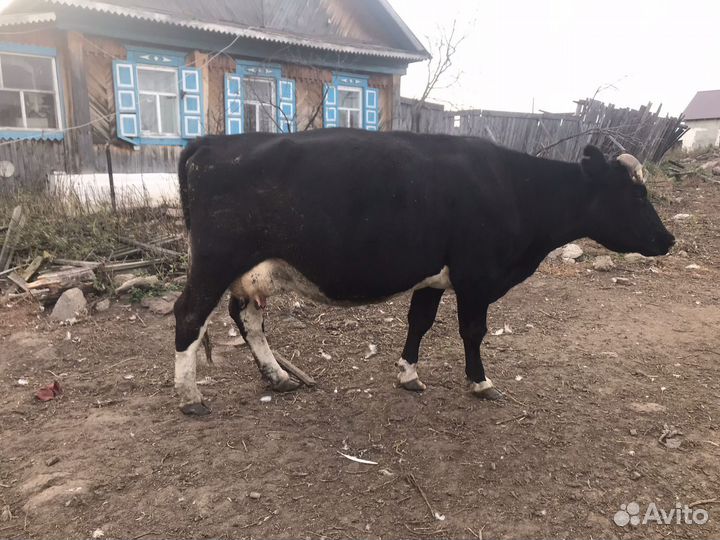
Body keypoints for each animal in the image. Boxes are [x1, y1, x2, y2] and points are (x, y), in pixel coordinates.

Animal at [173, 129, 675, 416]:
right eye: (636, 195)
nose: (668, 240)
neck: (516, 188)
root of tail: (214, 140)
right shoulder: (476, 276)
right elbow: (472, 331)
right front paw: (480, 382)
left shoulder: (434, 276)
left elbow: (420, 322)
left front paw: (408, 374)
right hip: (215, 263)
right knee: (188, 317)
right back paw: (191, 398)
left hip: (251, 271)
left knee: (248, 319)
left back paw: (276, 377)